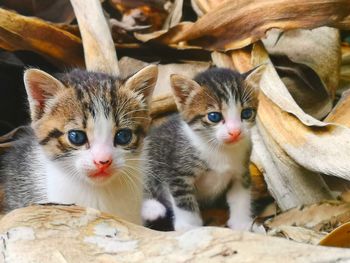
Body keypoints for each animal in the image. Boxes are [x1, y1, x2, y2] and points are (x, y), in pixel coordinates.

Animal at [141, 67, 264, 231]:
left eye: (246, 113)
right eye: (214, 116)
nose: (235, 132)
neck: (219, 148)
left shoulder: (241, 172)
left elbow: (241, 197)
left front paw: (242, 223)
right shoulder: (178, 172)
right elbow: (184, 202)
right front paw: (190, 227)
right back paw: (152, 208)